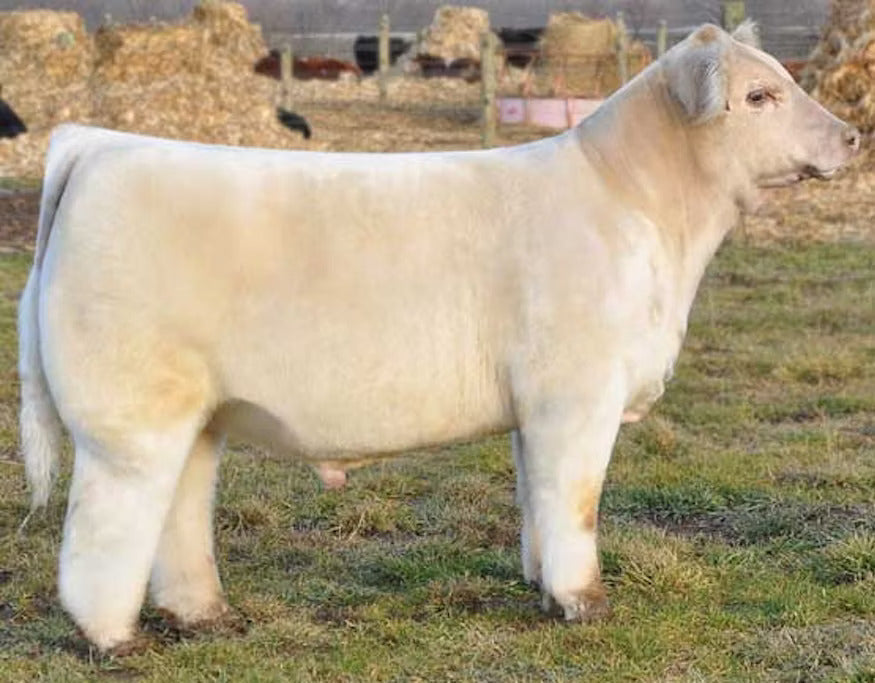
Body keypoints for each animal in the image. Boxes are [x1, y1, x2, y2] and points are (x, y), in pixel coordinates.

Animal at [18, 22, 859, 652]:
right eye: (758, 95)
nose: (851, 137)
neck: (643, 213)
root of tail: (98, 145)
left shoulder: (536, 408)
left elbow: (536, 496)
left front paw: (541, 584)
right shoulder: (577, 394)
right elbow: (576, 499)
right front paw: (584, 601)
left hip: (195, 416)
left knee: (178, 512)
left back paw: (206, 615)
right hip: (130, 421)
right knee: (105, 526)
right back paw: (111, 638)